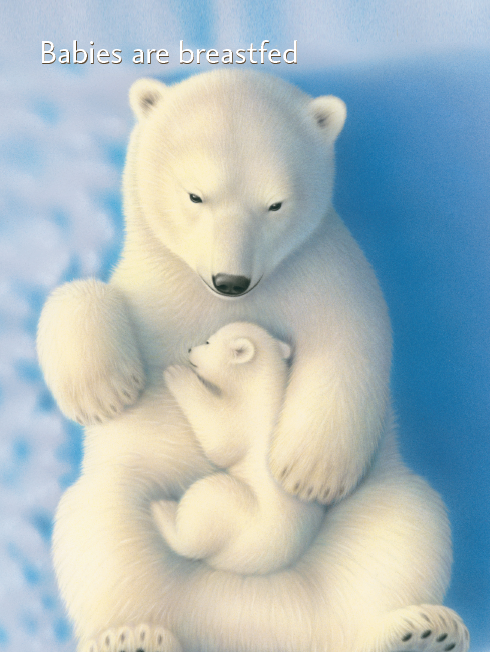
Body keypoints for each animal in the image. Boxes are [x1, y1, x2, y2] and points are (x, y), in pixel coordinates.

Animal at [152, 322, 325, 574]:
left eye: (208, 342)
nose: (190, 350)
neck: (264, 391)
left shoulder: (248, 419)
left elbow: (221, 439)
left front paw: (177, 374)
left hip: (238, 511)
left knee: (204, 503)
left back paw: (164, 510)